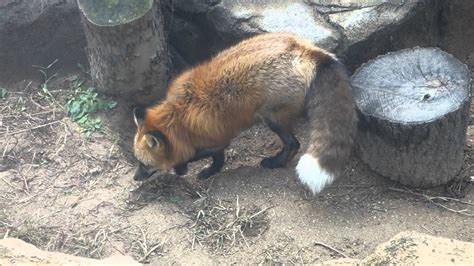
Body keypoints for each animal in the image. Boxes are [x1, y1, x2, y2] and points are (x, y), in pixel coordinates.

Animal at [131, 32, 358, 194]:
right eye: (137, 161)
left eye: (144, 164)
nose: (134, 178)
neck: (179, 117)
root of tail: (309, 51)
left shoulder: (217, 139)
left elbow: (206, 156)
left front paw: (191, 169)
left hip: (272, 118)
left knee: (294, 144)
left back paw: (274, 163)